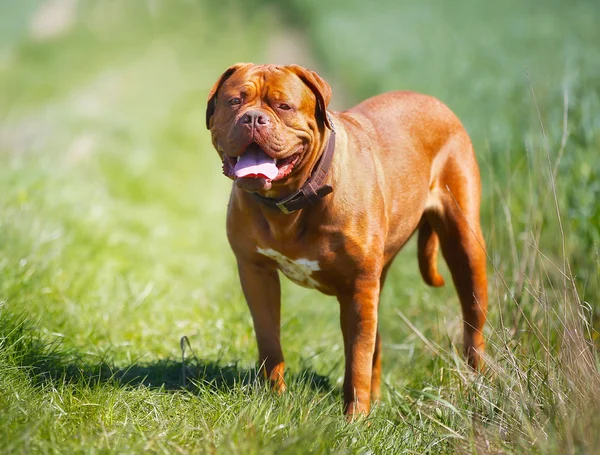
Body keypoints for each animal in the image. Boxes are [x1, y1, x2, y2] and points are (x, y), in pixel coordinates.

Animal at [206, 64, 488, 416]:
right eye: (235, 101)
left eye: (283, 106)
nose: (254, 118)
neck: (293, 199)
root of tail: (433, 100)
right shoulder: (256, 272)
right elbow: (270, 340)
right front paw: (274, 398)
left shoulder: (357, 288)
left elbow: (357, 357)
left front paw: (355, 418)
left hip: (465, 244)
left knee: (472, 319)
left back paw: (475, 385)